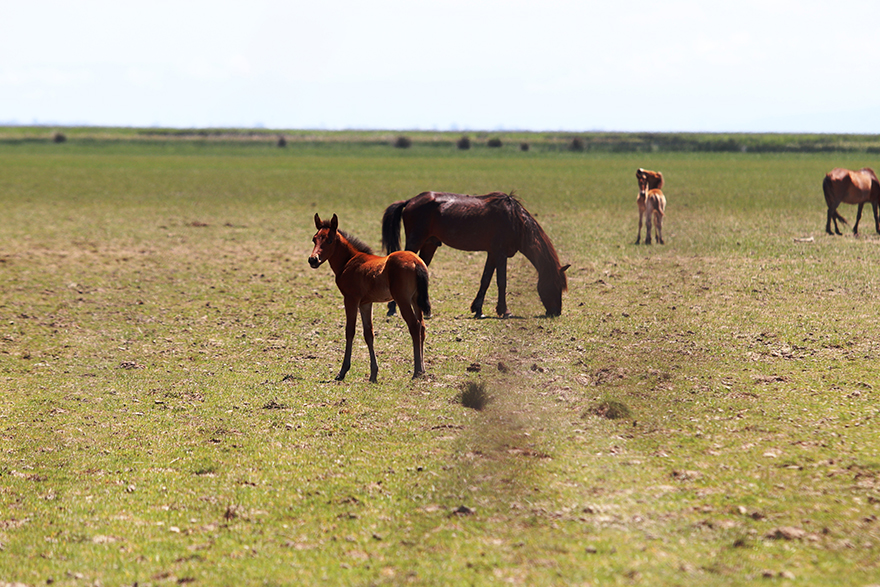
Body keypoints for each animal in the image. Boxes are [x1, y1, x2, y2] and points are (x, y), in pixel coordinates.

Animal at [310, 214, 434, 384]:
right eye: (314, 239)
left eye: (329, 240)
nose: (313, 260)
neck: (349, 261)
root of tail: (417, 262)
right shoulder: (366, 303)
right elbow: (369, 334)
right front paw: (373, 374)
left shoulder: (351, 299)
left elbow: (350, 331)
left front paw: (342, 372)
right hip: (415, 300)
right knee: (422, 327)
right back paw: (423, 370)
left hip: (403, 300)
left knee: (414, 327)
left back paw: (417, 371)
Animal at [382, 193, 568, 320]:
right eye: (556, 285)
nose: (556, 312)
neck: (515, 221)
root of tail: (410, 201)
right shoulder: (501, 254)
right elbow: (501, 281)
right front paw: (505, 311)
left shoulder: (493, 254)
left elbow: (485, 280)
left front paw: (478, 309)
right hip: (415, 241)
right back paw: (392, 308)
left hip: (429, 244)